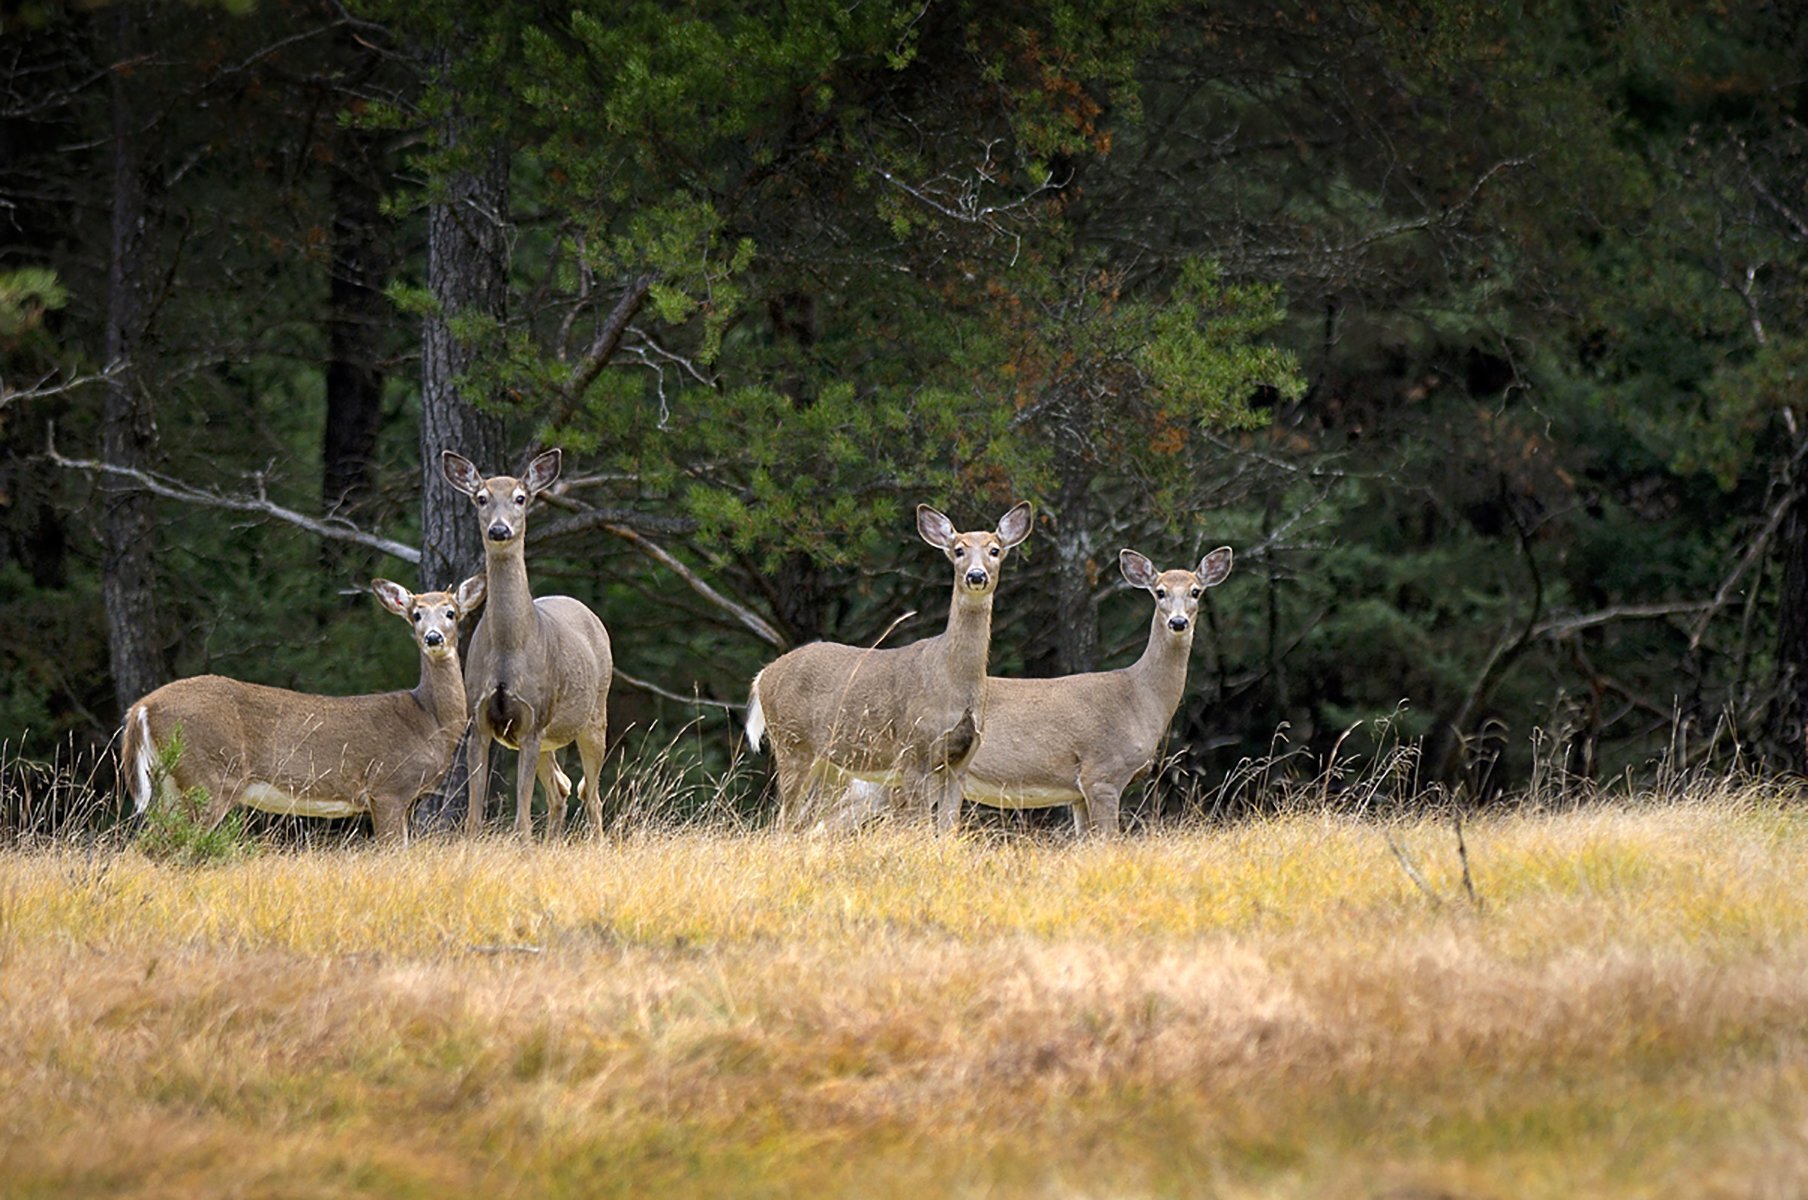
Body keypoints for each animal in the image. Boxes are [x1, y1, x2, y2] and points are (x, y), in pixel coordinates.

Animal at [119, 574, 488, 842]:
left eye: (451, 612)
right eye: (416, 614)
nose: (433, 637)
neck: (428, 720)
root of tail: (141, 707)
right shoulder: (388, 787)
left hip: (171, 782)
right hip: (209, 775)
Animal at [439, 444, 611, 838]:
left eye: (520, 497)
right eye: (481, 497)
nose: (499, 529)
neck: (508, 649)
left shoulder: (532, 720)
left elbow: (520, 817)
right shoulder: (479, 721)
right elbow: (473, 816)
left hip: (594, 715)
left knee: (591, 795)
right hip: (549, 738)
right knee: (562, 790)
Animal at [744, 502, 1034, 831]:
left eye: (995, 550)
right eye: (958, 550)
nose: (975, 575)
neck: (953, 681)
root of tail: (764, 675)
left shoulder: (961, 761)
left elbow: (948, 829)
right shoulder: (913, 750)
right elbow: (919, 825)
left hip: (829, 764)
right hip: (792, 744)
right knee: (783, 822)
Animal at [828, 542, 1229, 834]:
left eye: (1196, 591)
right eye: (1159, 592)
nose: (1178, 622)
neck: (1139, 697)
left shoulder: (1076, 793)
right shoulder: (1102, 772)